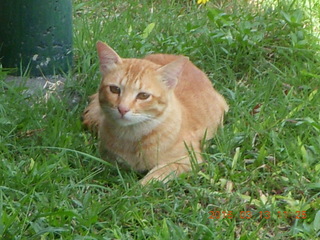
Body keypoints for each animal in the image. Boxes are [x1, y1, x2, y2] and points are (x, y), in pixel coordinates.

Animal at [82, 41, 228, 185]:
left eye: (143, 96)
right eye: (114, 89)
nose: (122, 109)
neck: (131, 137)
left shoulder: (188, 159)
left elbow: (155, 175)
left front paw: (139, 187)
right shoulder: (106, 156)